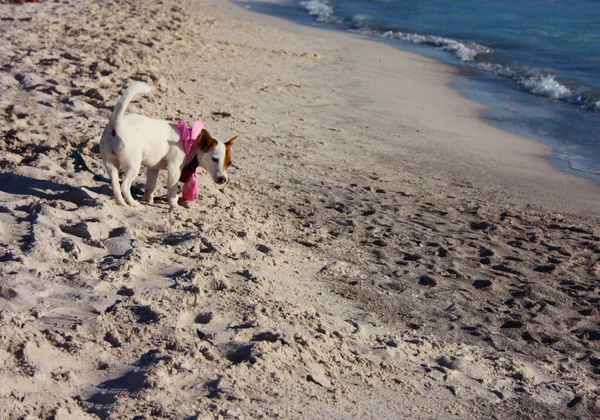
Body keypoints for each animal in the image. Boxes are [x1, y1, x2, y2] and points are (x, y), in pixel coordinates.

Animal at [99, 81, 238, 208]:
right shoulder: (174, 170)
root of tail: (117, 125)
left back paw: (121, 202)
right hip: (133, 166)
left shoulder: (153, 168)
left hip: (111, 164)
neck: (191, 143)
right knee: (124, 185)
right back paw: (132, 202)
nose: (223, 179)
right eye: (215, 159)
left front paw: (148, 199)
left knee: (115, 184)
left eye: (229, 163)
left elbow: (151, 186)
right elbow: (172, 191)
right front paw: (174, 206)